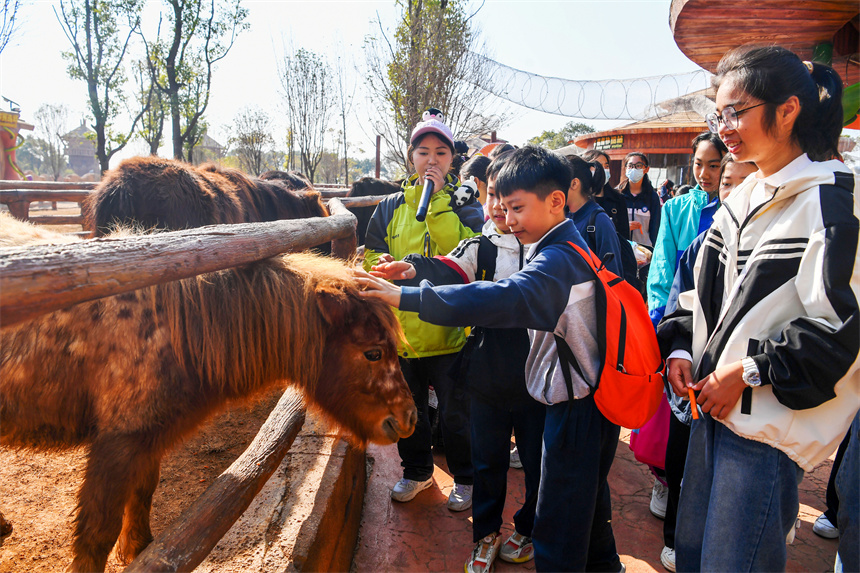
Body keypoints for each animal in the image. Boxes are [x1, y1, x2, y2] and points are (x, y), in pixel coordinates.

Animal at [0, 220, 416, 572]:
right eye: (373, 353)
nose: (409, 419)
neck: (176, 333)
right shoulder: (118, 442)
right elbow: (96, 534)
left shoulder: (148, 438)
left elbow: (143, 493)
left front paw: (139, 550)